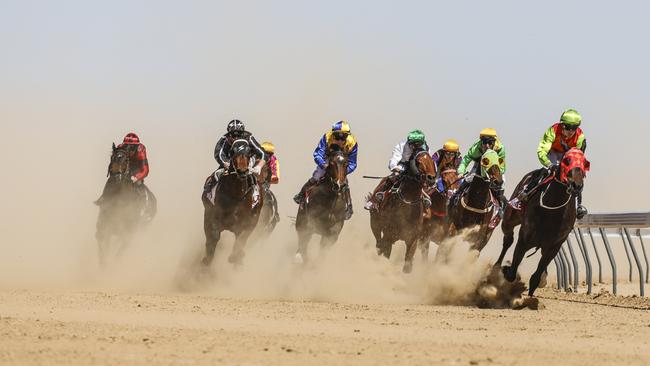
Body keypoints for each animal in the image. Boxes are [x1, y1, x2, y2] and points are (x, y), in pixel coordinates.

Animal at [496, 147, 588, 296]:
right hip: (509, 219)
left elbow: (535, 278)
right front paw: (505, 269)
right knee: (508, 240)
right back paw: (497, 266)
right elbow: (511, 273)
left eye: (585, 163)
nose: (576, 185)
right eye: (567, 160)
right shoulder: (524, 239)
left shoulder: (553, 247)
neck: (552, 210)